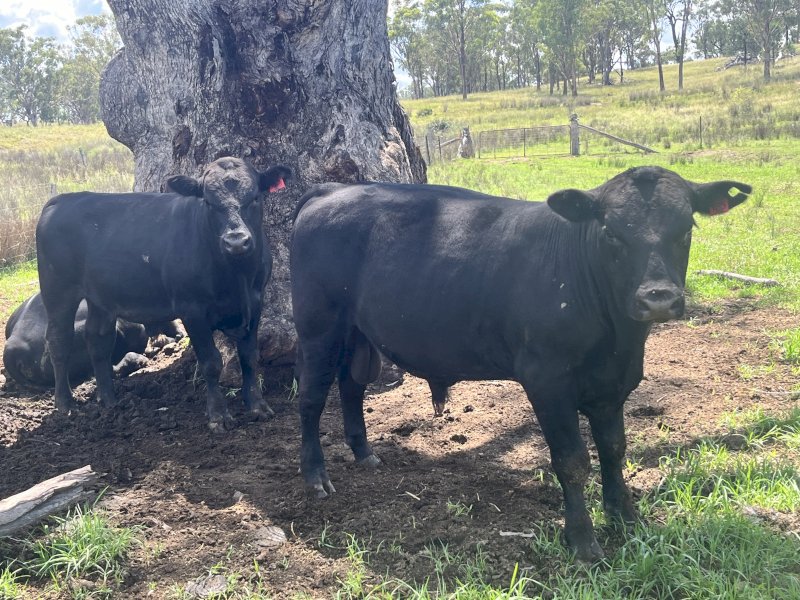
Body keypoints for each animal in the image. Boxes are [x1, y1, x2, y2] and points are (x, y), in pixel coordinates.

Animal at [36, 157, 290, 432]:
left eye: (255, 197)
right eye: (208, 202)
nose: (236, 241)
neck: (237, 276)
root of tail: (62, 200)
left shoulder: (255, 303)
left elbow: (250, 357)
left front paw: (258, 406)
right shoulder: (192, 309)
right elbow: (211, 363)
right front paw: (218, 415)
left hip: (100, 297)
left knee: (98, 340)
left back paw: (109, 399)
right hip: (58, 291)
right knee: (59, 341)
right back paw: (65, 404)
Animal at [290, 167, 750, 562]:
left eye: (686, 229)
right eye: (611, 233)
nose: (657, 298)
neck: (619, 341)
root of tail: (333, 189)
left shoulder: (613, 385)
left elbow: (614, 450)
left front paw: (626, 519)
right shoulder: (547, 380)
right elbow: (572, 460)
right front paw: (582, 540)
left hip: (355, 331)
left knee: (351, 386)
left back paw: (364, 453)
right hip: (318, 326)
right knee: (311, 398)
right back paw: (315, 477)